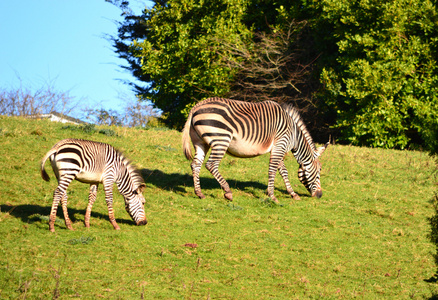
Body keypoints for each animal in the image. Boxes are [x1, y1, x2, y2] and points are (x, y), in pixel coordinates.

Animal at [181, 97, 328, 203]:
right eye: (319, 171)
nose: (320, 195)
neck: (294, 135)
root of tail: (196, 106)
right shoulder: (280, 145)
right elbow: (273, 170)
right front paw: (272, 196)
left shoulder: (277, 148)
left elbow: (283, 171)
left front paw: (292, 193)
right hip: (221, 140)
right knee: (211, 164)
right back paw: (228, 192)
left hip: (200, 143)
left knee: (196, 164)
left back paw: (199, 193)